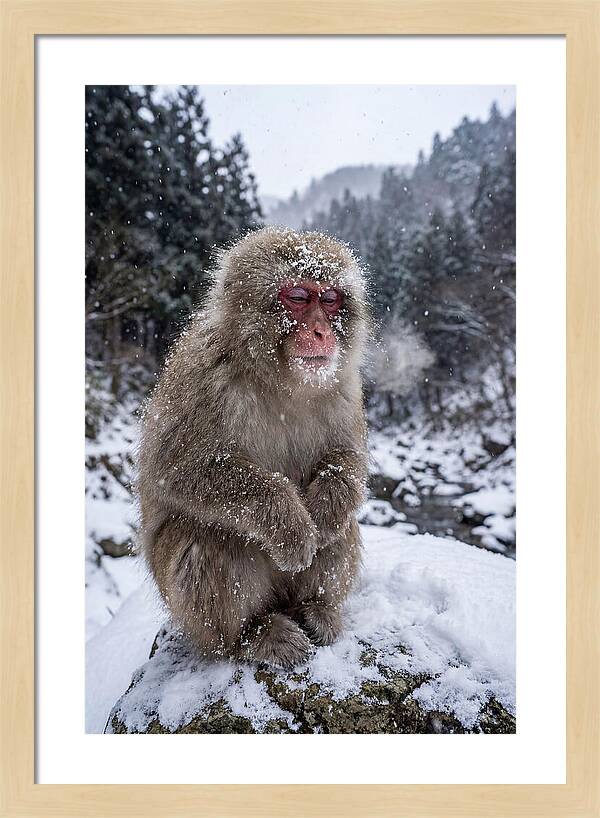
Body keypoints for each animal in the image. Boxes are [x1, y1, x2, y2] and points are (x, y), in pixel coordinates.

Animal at [137, 227, 370, 668]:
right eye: (297, 296)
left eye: (330, 298)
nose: (321, 331)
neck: (280, 380)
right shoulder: (202, 377)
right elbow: (177, 470)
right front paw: (292, 525)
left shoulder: (345, 386)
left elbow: (347, 458)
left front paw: (325, 511)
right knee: (207, 536)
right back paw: (251, 635)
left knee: (343, 526)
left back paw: (317, 609)